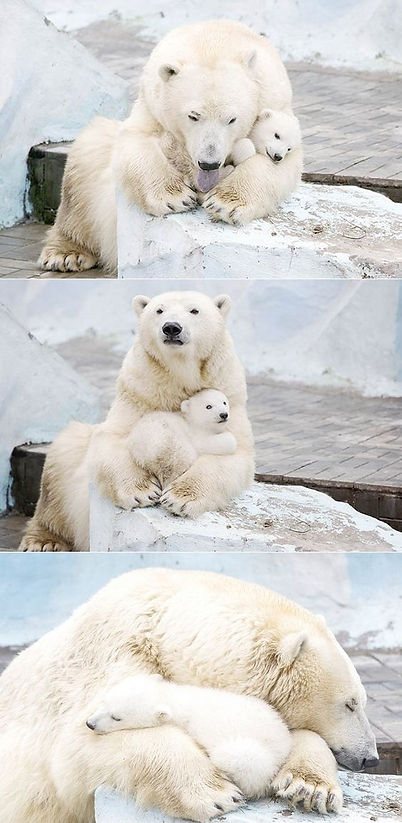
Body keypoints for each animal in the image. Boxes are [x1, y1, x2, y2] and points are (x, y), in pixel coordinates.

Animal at [19, 291, 255, 551]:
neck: (179, 378)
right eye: (159, 310)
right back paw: (43, 540)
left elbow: (233, 454)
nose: (171, 328)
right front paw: (143, 492)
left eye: (194, 310)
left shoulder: (229, 393)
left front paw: (179, 498)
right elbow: (115, 438)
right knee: (59, 472)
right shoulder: (140, 392)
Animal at [38, 19, 303, 273]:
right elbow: (136, 143)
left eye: (232, 119)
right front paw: (177, 197)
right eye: (193, 116)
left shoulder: (276, 104)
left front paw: (225, 202)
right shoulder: (151, 105)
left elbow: (280, 163)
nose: (209, 163)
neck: (214, 40)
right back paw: (66, 254)